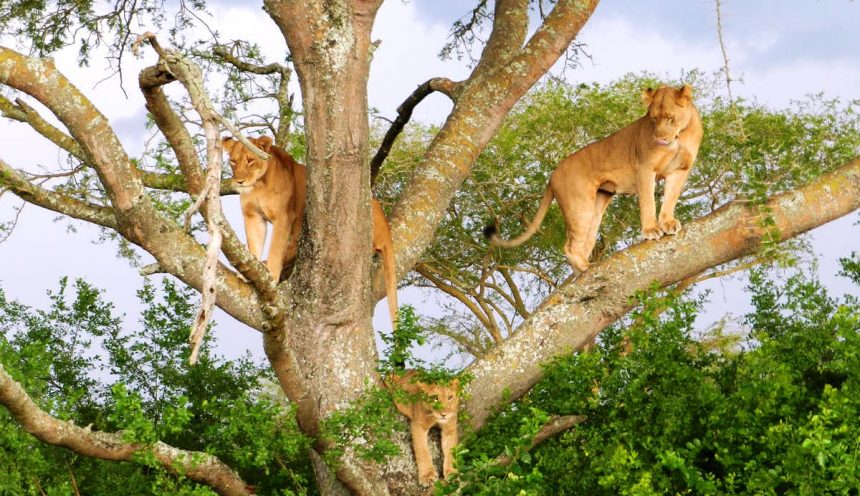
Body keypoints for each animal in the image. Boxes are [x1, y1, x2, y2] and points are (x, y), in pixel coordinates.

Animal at [222, 136, 399, 330]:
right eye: (233, 161)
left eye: (250, 160)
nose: (239, 181)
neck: (258, 185)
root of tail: (385, 223)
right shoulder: (252, 216)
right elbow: (253, 245)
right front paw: (248, 270)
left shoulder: (284, 216)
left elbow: (275, 249)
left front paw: (272, 276)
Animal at [485, 84, 703, 273]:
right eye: (652, 119)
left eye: (670, 117)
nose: (659, 139)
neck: (679, 137)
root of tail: (552, 175)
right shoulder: (645, 167)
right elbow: (648, 203)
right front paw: (651, 230)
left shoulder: (680, 170)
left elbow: (671, 198)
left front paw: (668, 223)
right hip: (580, 205)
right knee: (569, 246)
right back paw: (585, 267)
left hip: (597, 205)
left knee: (584, 242)